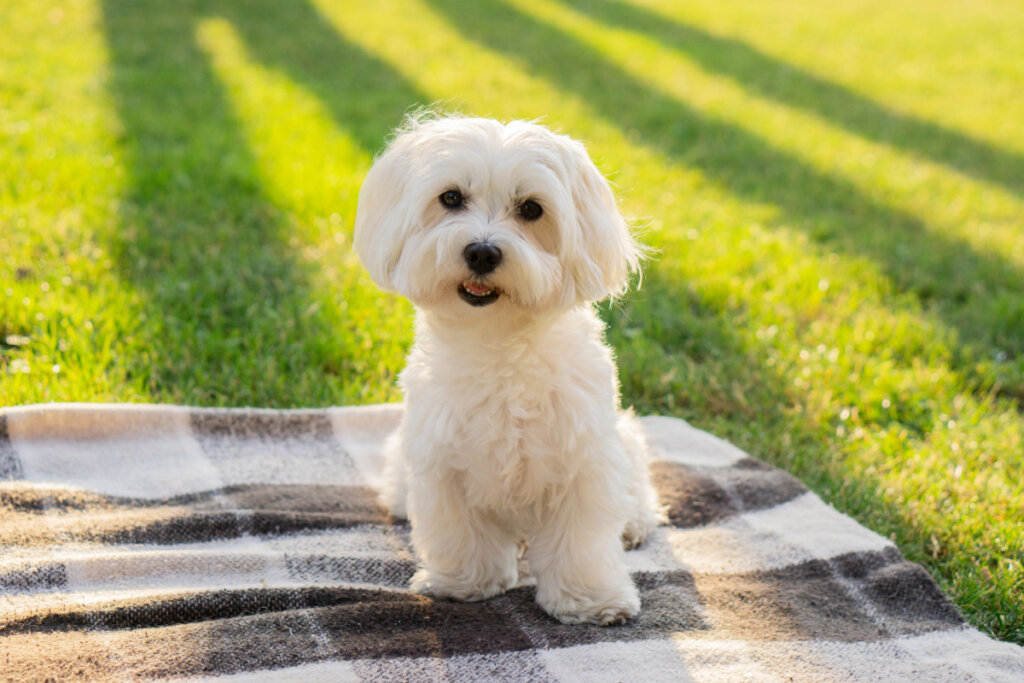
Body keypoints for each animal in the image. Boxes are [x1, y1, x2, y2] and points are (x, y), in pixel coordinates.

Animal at [354, 114, 663, 626]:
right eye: (451, 198)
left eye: (532, 209)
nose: (482, 252)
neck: (497, 344)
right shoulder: (442, 460)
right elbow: (460, 531)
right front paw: (464, 581)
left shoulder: (584, 458)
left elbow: (582, 541)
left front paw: (591, 599)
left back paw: (634, 522)